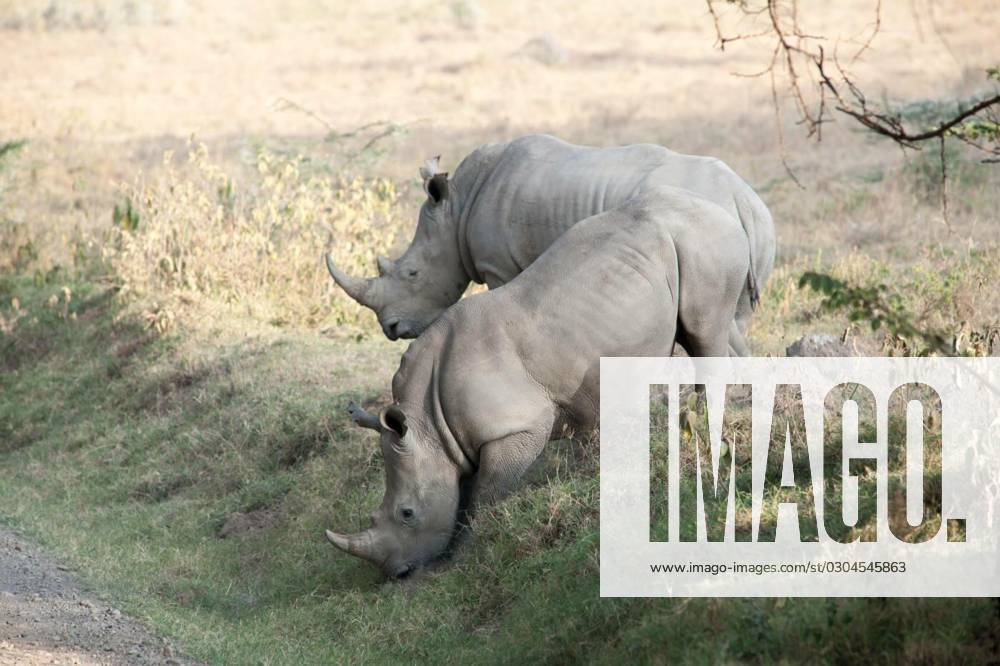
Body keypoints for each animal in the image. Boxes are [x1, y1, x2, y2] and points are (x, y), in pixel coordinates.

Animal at [324, 187, 748, 576]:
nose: (397, 573)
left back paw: (705, 422)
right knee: (702, 334)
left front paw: (469, 552)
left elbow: (486, 493)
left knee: (704, 328)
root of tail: (721, 209)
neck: (427, 422)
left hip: (704, 245)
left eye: (407, 513)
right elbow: (464, 493)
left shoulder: (515, 429)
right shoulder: (455, 440)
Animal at [328, 132, 772, 356]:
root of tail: (740, 197)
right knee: (734, 317)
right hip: (755, 227)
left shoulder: (499, 266)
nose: (391, 329)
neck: (457, 207)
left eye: (412, 273)